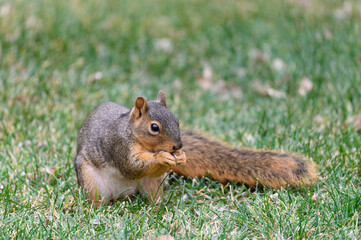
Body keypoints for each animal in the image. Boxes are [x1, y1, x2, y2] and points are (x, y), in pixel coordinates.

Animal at [74, 90, 316, 202]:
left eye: (177, 120)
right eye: (154, 127)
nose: (178, 145)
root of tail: (123, 194)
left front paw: (181, 157)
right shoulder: (119, 146)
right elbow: (131, 167)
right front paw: (162, 157)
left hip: (152, 185)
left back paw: (159, 206)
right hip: (91, 182)